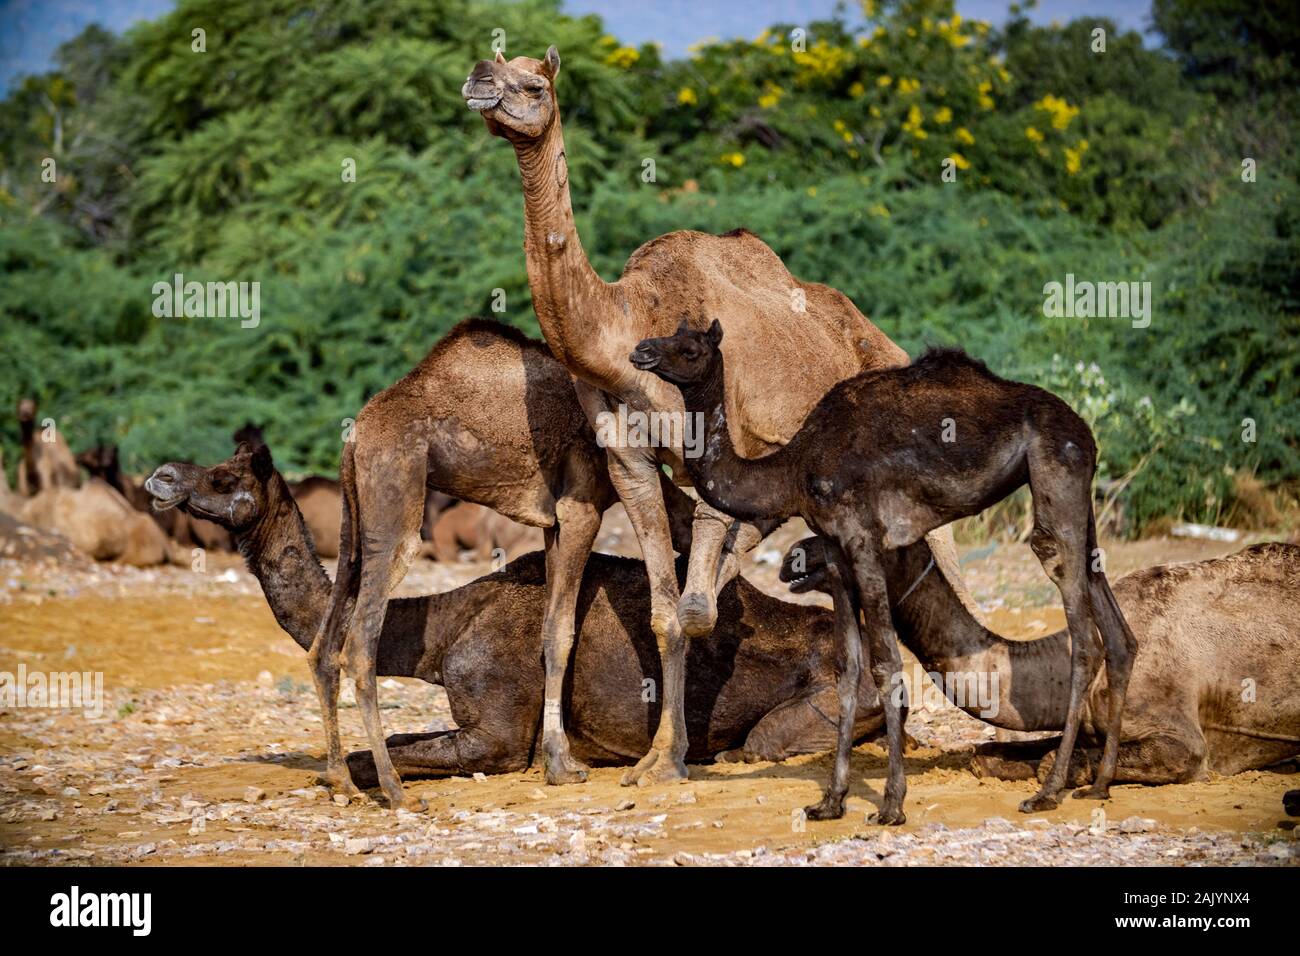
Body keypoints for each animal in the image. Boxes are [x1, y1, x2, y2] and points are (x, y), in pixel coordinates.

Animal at [143, 446, 903, 781]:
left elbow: (368, 759)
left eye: (225, 477)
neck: (447, 626)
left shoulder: (500, 732)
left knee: (762, 741)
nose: (162, 475)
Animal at [464, 47, 974, 787]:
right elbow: (666, 613)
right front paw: (658, 758)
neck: (627, 331)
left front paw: (670, 758)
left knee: (947, 552)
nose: (480, 79)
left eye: (532, 84)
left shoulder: (716, 449)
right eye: (494, 64)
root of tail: (882, 341)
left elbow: (697, 609)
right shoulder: (629, 460)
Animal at [632, 323, 1136, 824]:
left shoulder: (864, 540)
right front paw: (831, 800)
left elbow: (886, 664)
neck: (795, 468)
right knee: (1117, 630)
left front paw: (893, 803)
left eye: (690, 348)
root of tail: (1085, 432)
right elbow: (849, 668)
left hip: (1055, 471)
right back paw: (1100, 784)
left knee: (1079, 626)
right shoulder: (838, 558)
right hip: (1080, 499)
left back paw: (1048, 791)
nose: (642, 351)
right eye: (671, 332)